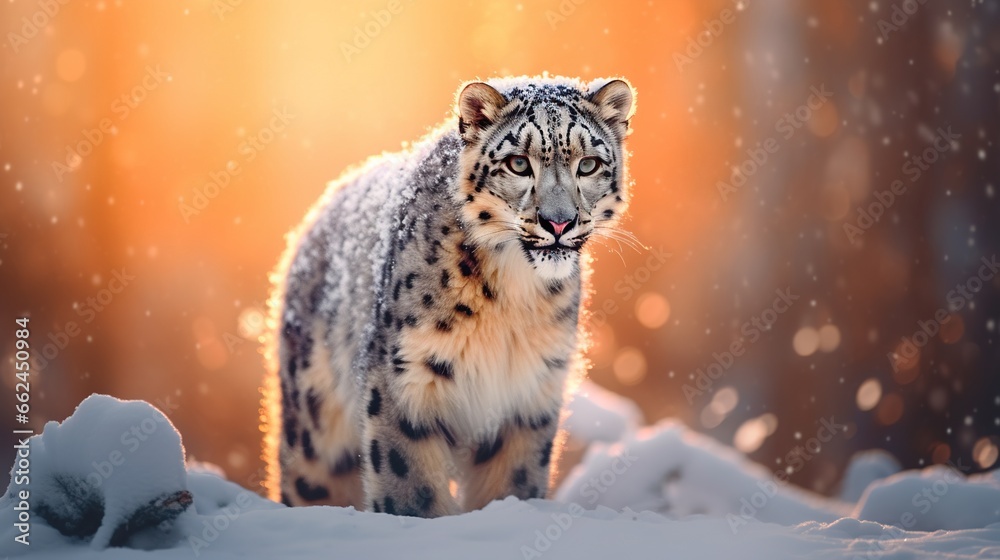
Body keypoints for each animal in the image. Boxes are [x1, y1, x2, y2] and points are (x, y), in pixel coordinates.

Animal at [262, 75, 636, 517]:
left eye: (589, 164)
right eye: (518, 163)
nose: (558, 222)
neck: (512, 298)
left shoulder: (528, 395)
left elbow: (512, 484)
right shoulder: (406, 383)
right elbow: (412, 488)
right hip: (314, 429)